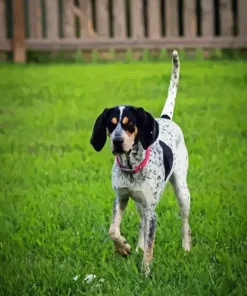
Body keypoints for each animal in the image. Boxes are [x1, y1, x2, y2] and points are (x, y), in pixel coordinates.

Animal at [90, 50, 191, 276]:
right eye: (111, 125)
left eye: (130, 124)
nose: (117, 142)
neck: (131, 168)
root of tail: (165, 118)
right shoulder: (121, 198)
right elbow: (113, 231)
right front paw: (124, 248)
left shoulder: (152, 210)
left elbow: (151, 245)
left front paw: (145, 272)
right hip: (138, 203)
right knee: (141, 224)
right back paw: (137, 247)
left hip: (182, 191)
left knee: (185, 223)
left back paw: (187, 249)